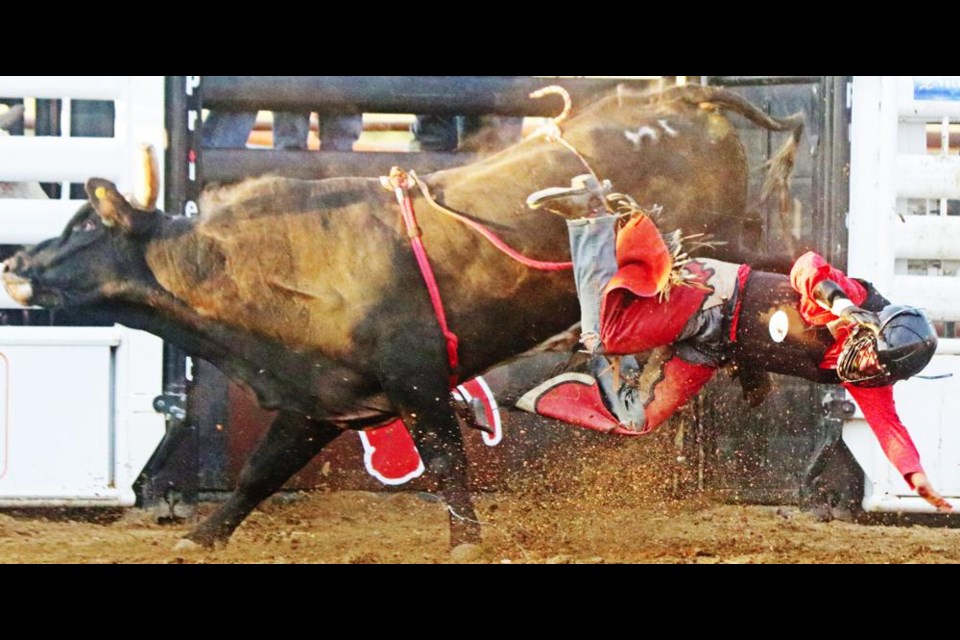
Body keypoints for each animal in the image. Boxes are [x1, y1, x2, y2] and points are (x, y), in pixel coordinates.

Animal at [3, 82, 808, 548]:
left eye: (84, 226)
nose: (15, 267)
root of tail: (682, 96)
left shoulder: (417, 382)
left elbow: (446, 462)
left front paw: (467, 542)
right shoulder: (319, 402)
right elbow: (261, 471)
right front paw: (201, 536)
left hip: (714, 235)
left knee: (770, 257)